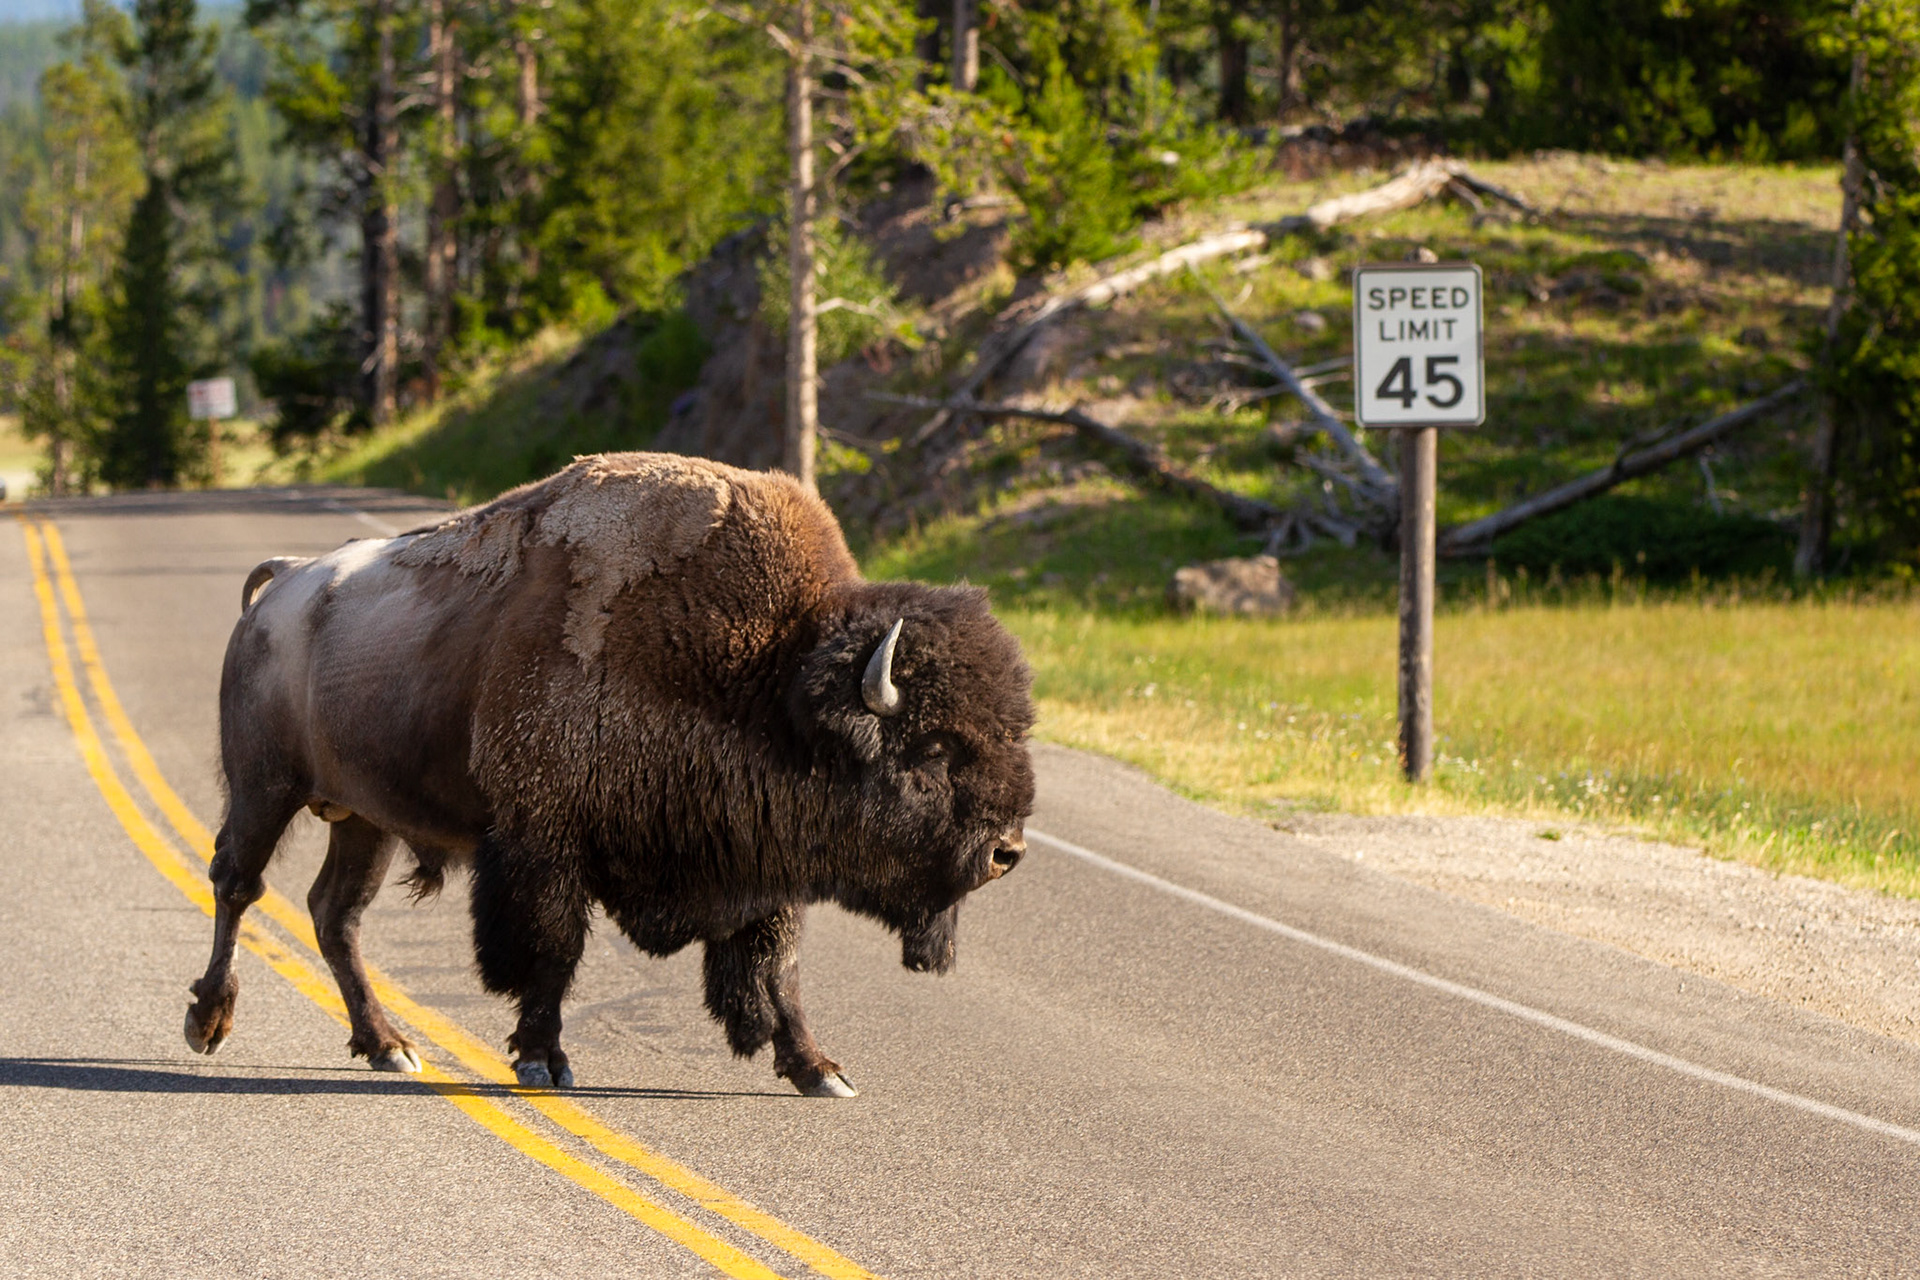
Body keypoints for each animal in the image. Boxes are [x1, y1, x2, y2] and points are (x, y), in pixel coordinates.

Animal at [185, 453, 1035, 1095]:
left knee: (336, 914)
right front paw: (542, 1060)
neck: (769, 675)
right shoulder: (545, 845)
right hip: (267, 789)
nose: (1008, 851)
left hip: (365, 818)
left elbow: (778, 965)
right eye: (932, 750)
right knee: (238, 883)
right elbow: (552, 950)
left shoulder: (766, 865)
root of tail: (288, 579)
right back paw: (208, 1023)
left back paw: (389, 1045)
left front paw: (819, 1070)